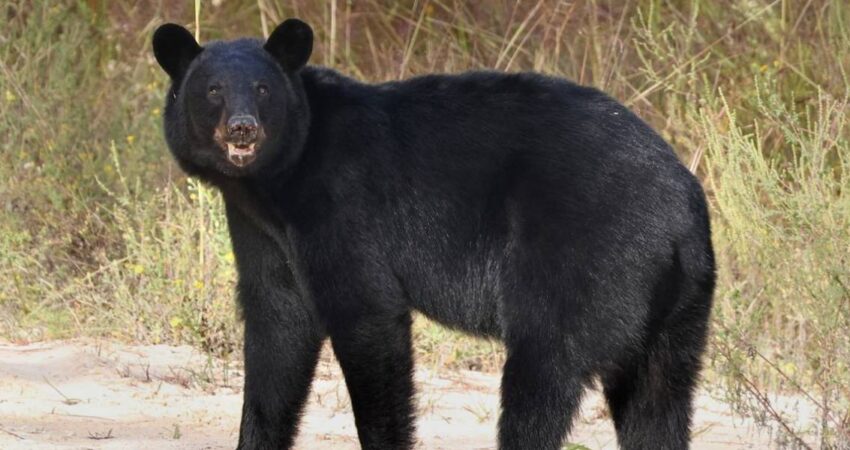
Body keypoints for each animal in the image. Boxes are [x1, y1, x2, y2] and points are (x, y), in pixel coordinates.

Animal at [152, 18, 715, 450]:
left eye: (263, 90)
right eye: (213, 90)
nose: (243, 128)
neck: (278, 179)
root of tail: (681, 208)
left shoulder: (340, 205)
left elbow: (367, 315)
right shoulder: (260, 227)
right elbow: (277, 326)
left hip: (585, 257)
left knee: (543, 374)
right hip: (678, 305)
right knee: (659, 398)